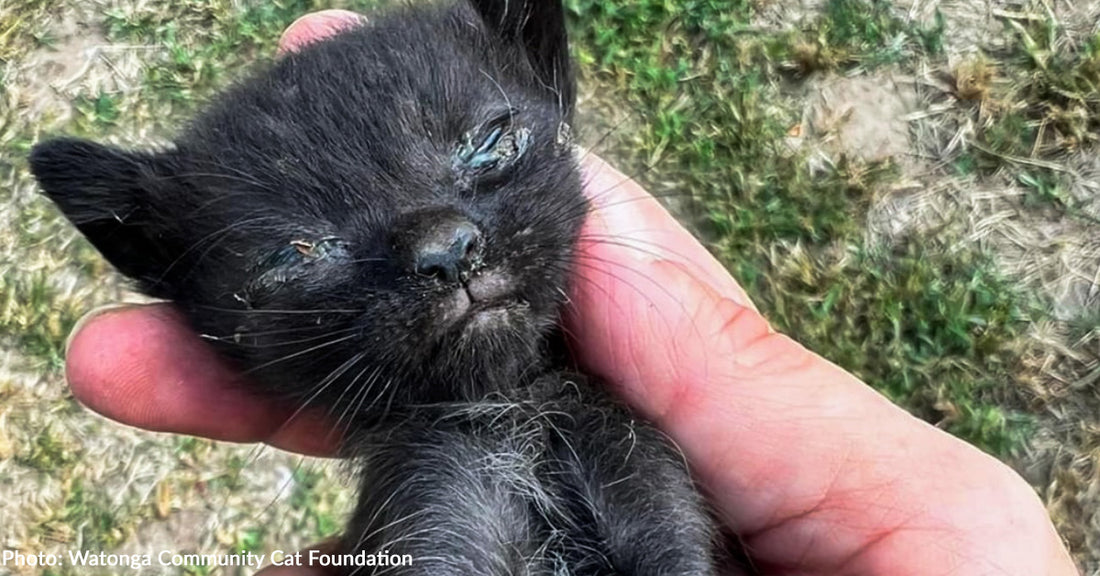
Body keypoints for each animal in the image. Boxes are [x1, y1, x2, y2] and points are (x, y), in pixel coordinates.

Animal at [30, 2, 717, 571]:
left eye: (489, 142)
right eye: (297, 251)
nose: (445, 251)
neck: (512, 413)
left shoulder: (644, 488)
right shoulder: (431, 517)